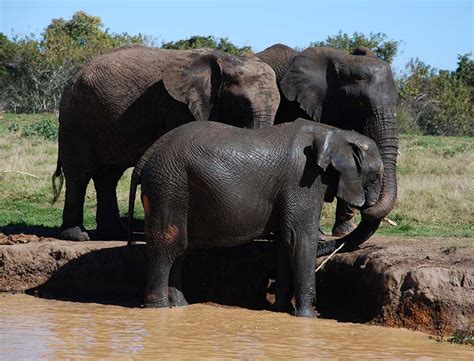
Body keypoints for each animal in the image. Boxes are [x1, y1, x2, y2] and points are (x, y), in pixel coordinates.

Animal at [51, 45, 282, 242]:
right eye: (241, 103)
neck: (225, 59)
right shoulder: (179, 107)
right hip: (76, 119)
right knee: (79, 175)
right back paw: (77, 236)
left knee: (108, 176)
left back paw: (113, 233)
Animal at [128, 118, 384, 316]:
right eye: (375, 177)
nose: (365, 206)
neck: (332, 132)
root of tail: (147, 155)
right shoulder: (303, 181)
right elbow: (300, 239)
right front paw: (308, 318)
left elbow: (285, 241)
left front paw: (282, 310)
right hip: (168, 186)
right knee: (169, 246)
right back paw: (159, 309)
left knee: (181, 249)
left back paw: (181, 306)